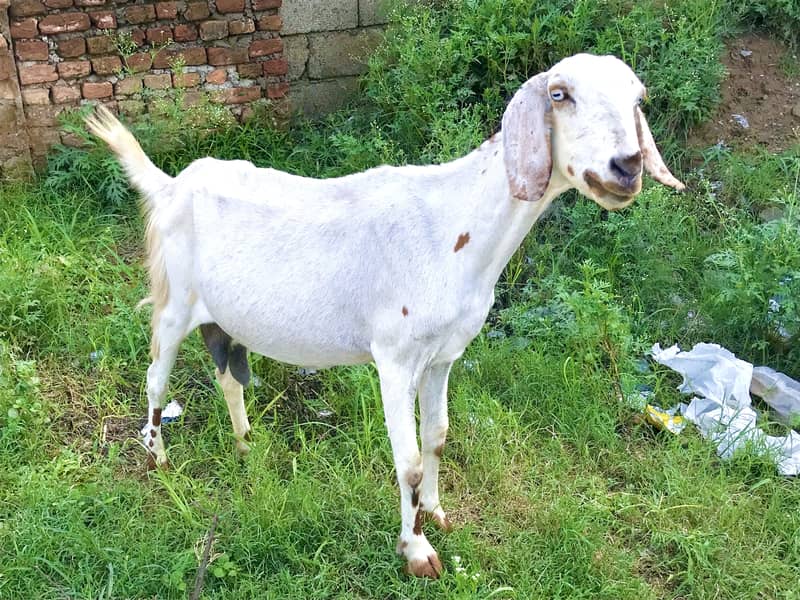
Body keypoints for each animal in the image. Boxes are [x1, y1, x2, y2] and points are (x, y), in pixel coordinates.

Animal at [86, 53, 684, 578]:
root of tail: (169, 184)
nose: (626, 167)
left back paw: (246, 446)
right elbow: (410, 460)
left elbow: (438, 435)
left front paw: (437, 513)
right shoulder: (395, 358)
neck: (454, 227)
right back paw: (159, 459)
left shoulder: (444, 355)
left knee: (228, 376)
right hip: (174, 300)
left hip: (223, 318)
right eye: (560, 95)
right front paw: (417, 552)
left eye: (638, 99)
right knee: (155, 377)